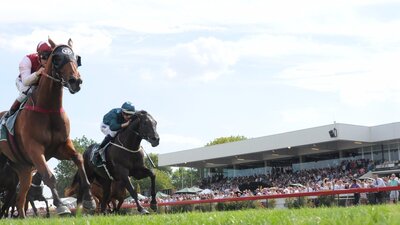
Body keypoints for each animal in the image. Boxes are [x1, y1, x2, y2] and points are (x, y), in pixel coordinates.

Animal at [0, 37, 95, 217]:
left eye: (76, 58)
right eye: (57, 58)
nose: (75, 81)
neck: (48, 108)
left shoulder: (60, 147)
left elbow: (79, 158)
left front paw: (89, 200)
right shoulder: (35, 149)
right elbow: (48, 175)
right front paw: (61, 206)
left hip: (22, 168)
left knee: (20, 197)